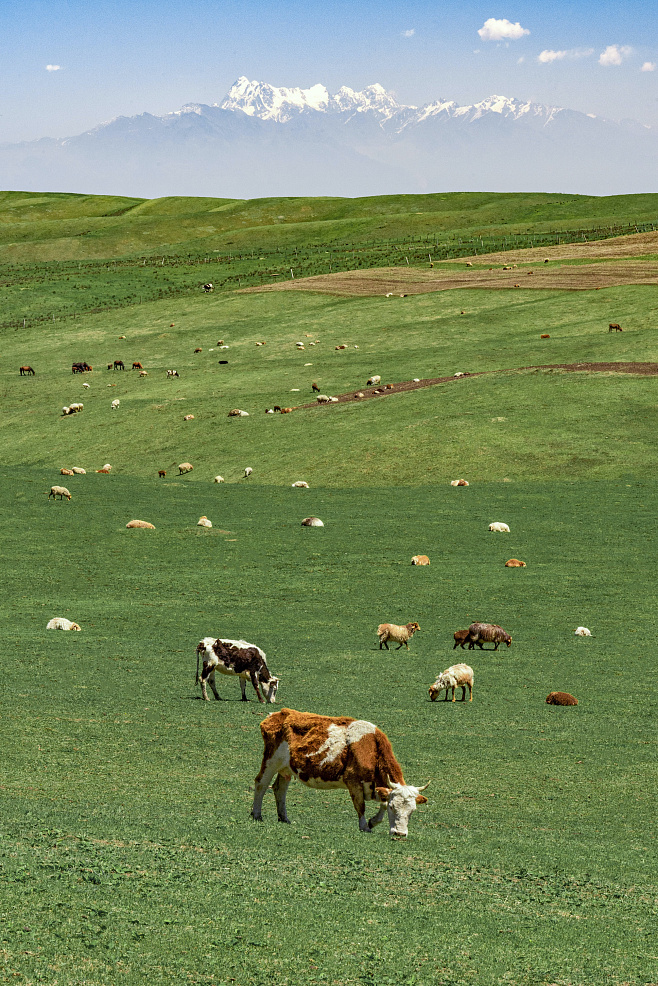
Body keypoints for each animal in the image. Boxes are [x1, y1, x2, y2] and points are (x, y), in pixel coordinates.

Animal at [249, 704, 428, 836]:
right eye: (393, 808)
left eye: (412, 811)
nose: (400, 834)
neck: (372, 748)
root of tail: (277, 714)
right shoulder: (353, 782)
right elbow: (360, 806)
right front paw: (365, 826)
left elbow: (382, 804)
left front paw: (373, 822)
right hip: (270, 761)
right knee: (261, 784)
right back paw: (256, 815)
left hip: (286, 768)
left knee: (279, 789)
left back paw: (284, 818)